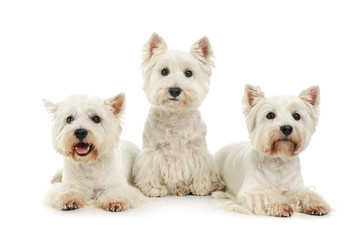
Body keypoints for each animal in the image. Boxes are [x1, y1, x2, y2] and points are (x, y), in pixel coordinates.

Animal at [132, 32, 222, 197]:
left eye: (188, 73)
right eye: (164, 71)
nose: (174, 90)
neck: (175, 115)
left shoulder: (198, 148)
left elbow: (201, 169)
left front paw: (201, 187)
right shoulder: (152, 150)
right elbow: (150, 170)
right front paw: (154, 189)